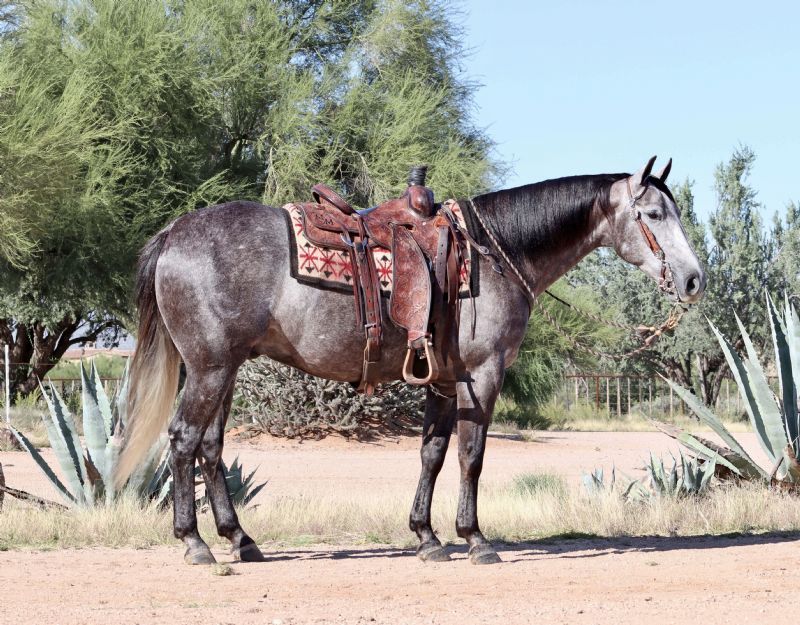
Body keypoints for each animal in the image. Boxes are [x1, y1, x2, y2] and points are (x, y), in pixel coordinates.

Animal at [115, 155, 706, 565]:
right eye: (655, 214)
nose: (694, 280)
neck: (495, 252)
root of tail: (174, 234)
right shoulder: (481, 376)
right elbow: (471, 456)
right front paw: (475, 538)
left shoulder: (443, 380)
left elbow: (433, 453)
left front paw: (427, 536)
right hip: (210, 368)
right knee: (184, 441)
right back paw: (194, 543)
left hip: (223, 369)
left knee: (211, 448)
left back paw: (240, 539)